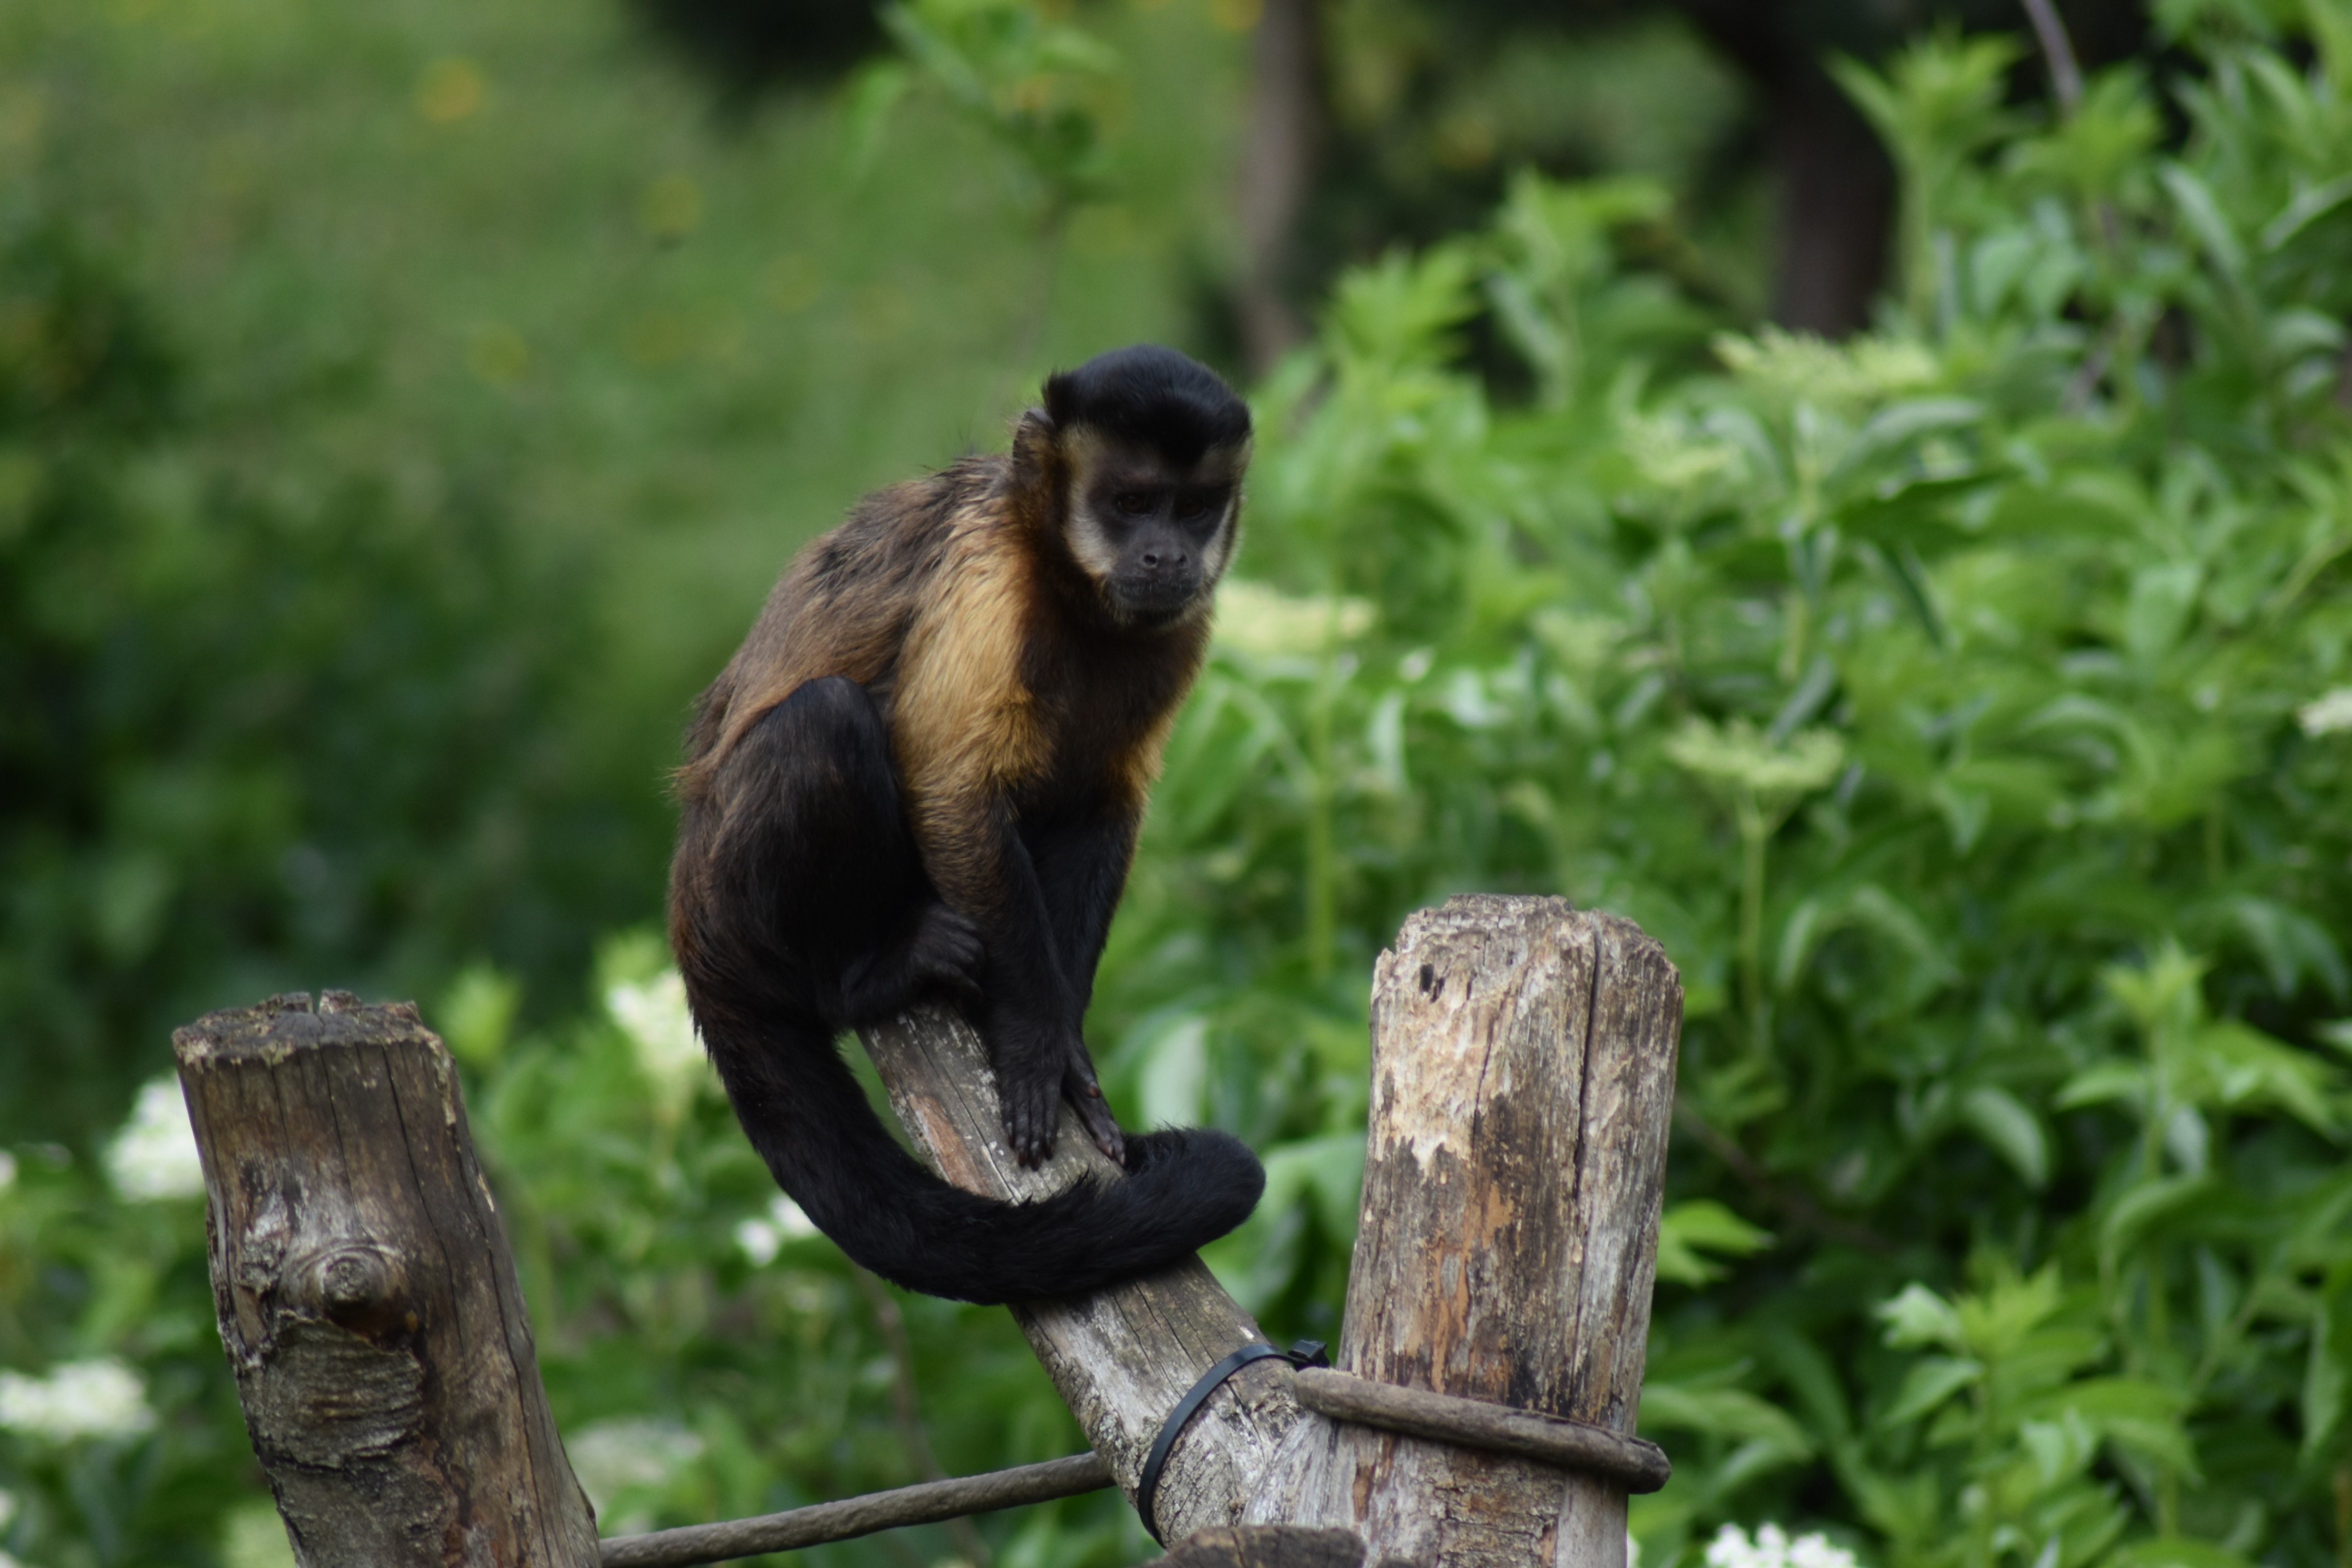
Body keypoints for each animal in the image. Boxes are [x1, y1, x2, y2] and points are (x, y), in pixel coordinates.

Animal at [667, 344, 1267, 1305]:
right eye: (1131, 501)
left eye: (1194, 507)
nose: (1166, 552)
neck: (1068, 593)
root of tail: (690, 918)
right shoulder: (990, 580)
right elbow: (953, 790)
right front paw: (1033, 1042)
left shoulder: (1182, 629)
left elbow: (1102, 804)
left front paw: (1069, 1049)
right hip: (737, 897)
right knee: (824, 722)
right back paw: (866, 973)